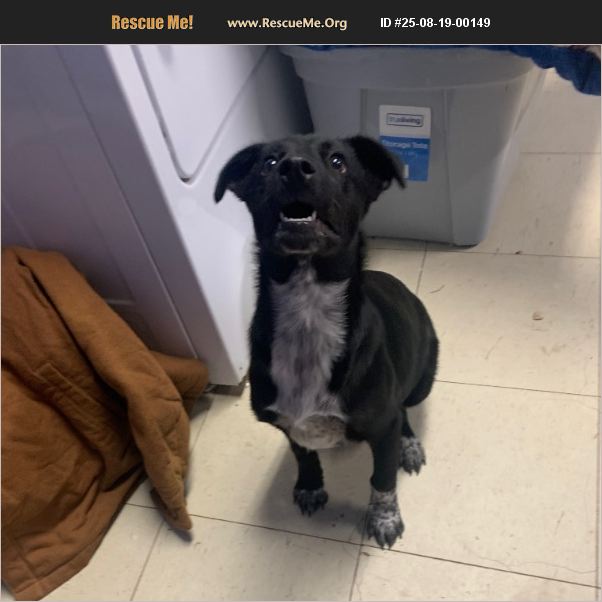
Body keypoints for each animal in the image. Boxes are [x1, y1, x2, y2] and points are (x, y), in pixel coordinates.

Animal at [214, 134, 438, 548]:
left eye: (338, 161)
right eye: (269, 163)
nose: (293, 168)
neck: (308, 309)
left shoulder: (381, 423)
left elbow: (382, 476)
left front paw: (384, 518)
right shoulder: (286, 420)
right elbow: (303, 454)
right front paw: (310, 486)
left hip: (422, 380)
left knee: (404, 409)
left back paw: (409, 444)